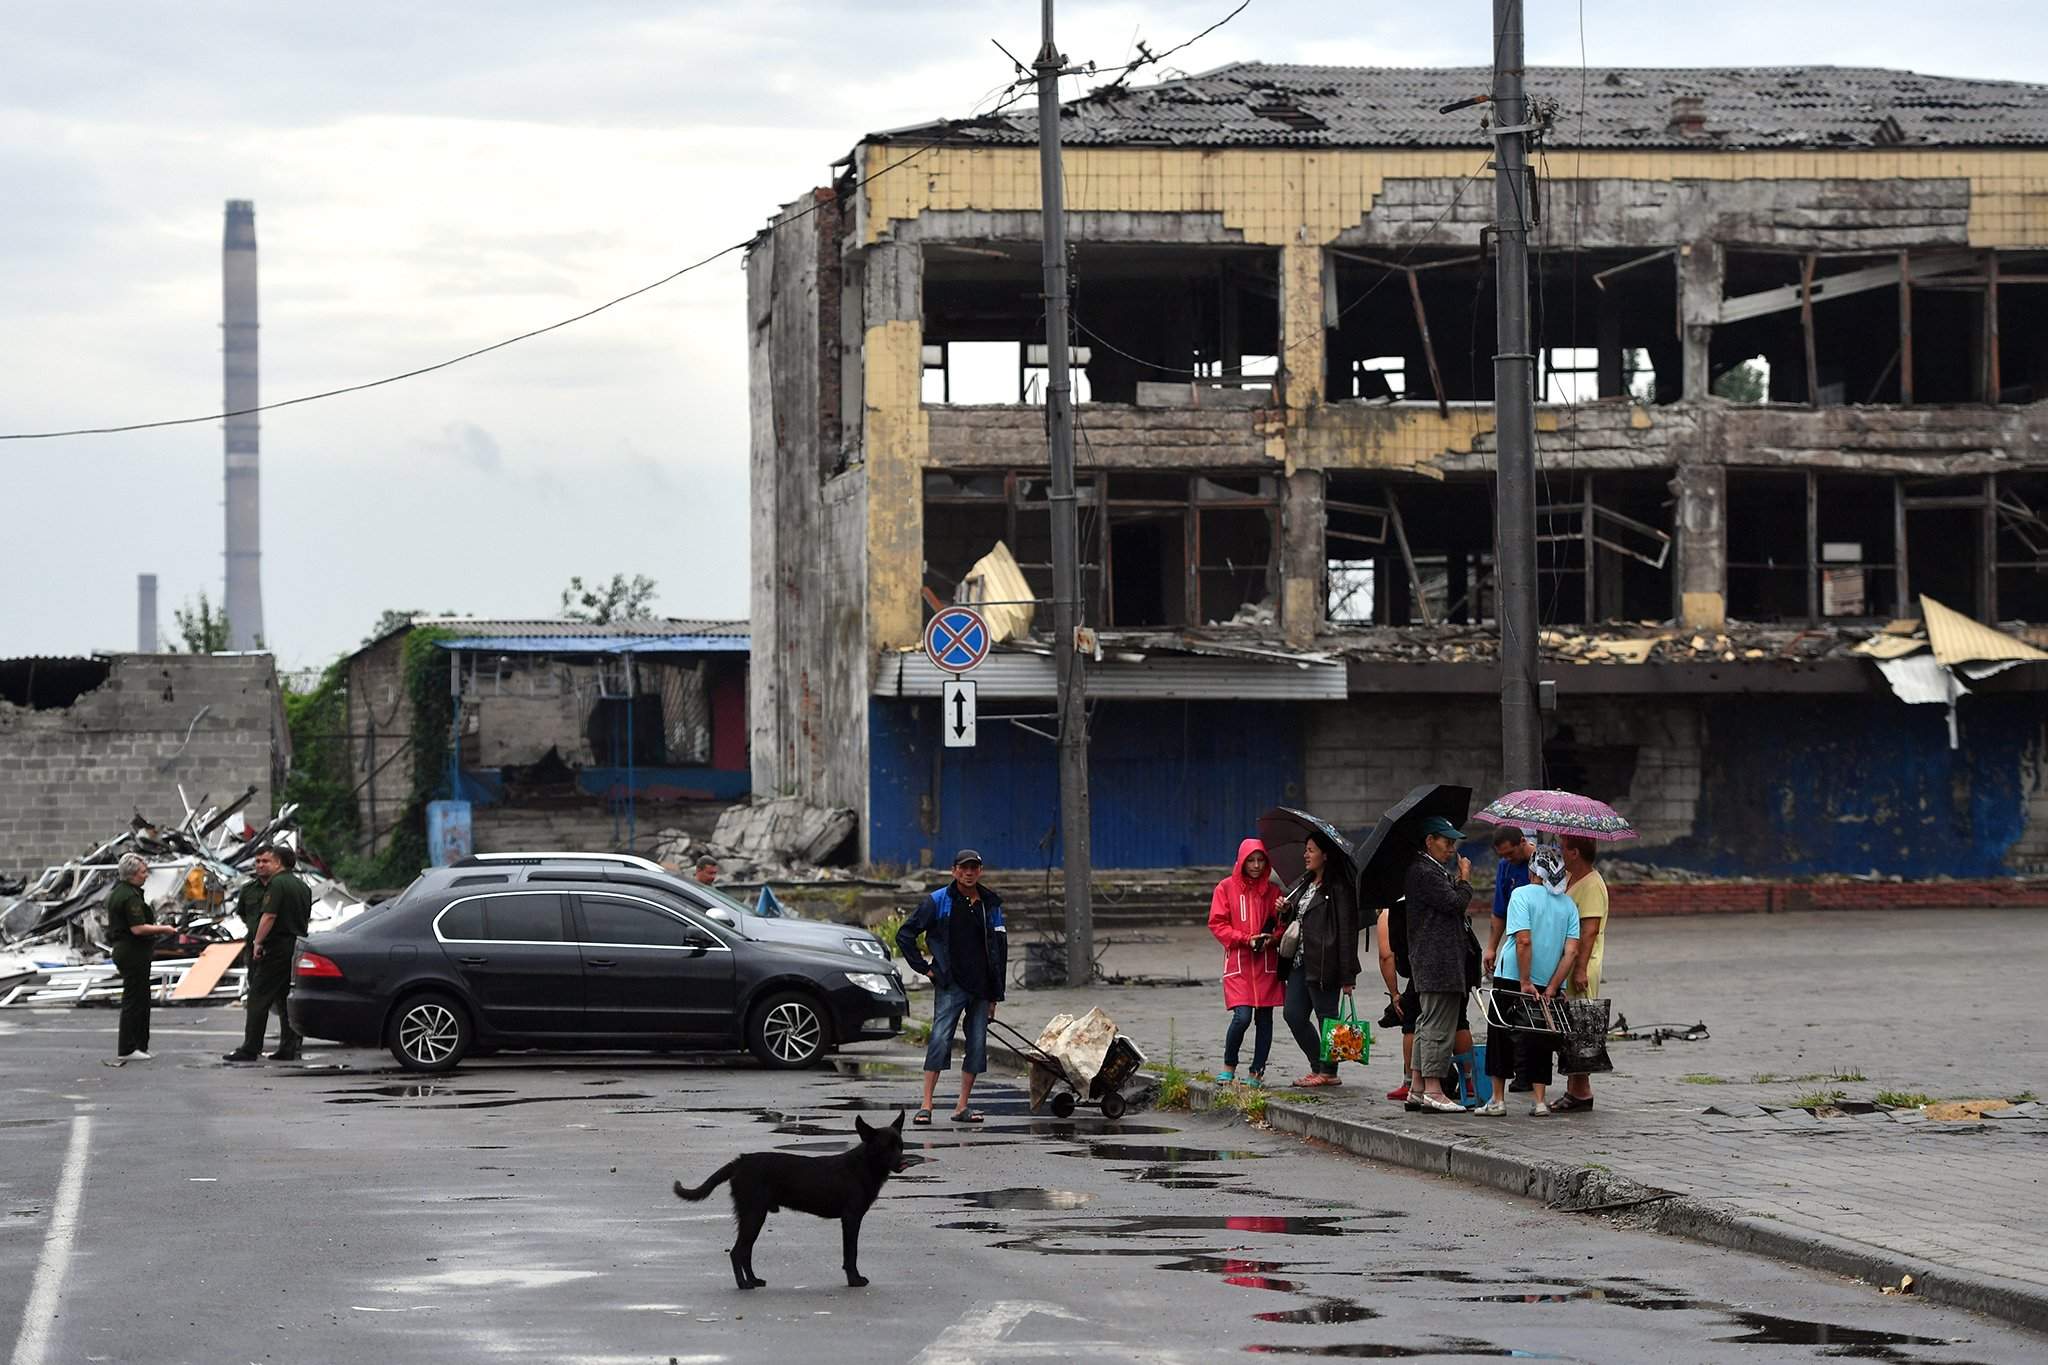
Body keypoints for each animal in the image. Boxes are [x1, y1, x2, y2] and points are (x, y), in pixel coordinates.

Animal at [675, 1113, 909, 1293]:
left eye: (900, 1146)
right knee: (737, 1251)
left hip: (753, 1216)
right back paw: (743, 1284)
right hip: (753, 1215)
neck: (863, 1165)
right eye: (885, 1148)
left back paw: (753, 1280)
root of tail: (740, 1161)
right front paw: (854, 1280)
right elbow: (851, 1253)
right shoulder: (851, 1219)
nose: (903, 1162)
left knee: (745, 1251)